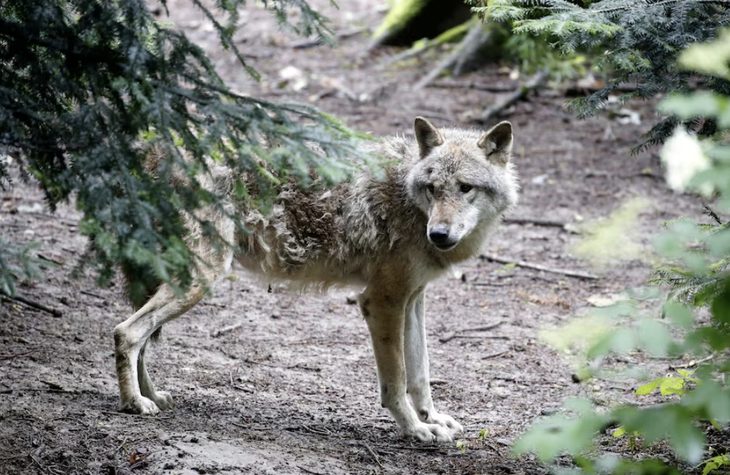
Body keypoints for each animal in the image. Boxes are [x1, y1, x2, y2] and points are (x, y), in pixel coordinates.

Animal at [114, 117, 516, 444]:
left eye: (465, 188)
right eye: (432, 188)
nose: (439, 234)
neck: (408, 200)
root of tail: (151, 153)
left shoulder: (414, 299)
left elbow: (421, 375)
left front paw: (432, 419)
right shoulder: (382, 301)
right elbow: (397, 381)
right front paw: (415, 429)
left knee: (141, 337)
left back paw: (152, 396)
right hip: (200, 279)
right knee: (126, 332)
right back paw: (134, 403)